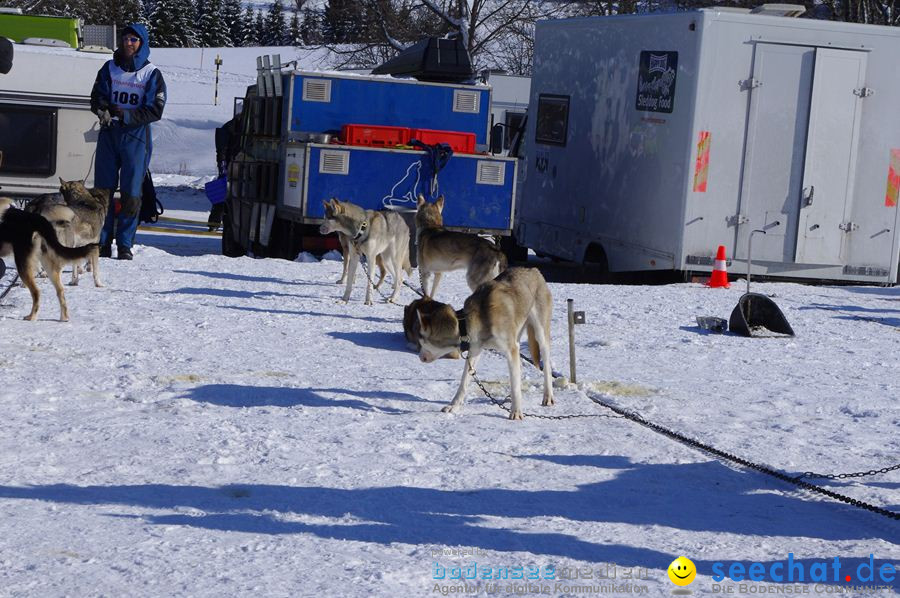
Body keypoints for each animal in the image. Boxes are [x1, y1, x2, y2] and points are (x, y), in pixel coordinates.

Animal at [416, 268, 556, 422]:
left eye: (422, 342)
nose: (420, 357)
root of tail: (533, 270)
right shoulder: (475, 350)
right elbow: (464, 381)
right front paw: (454, 406)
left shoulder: (510, 349)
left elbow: (515, 385)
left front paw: (516, 411)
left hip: (540, 333)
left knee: (546, 366)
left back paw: (548, 396)